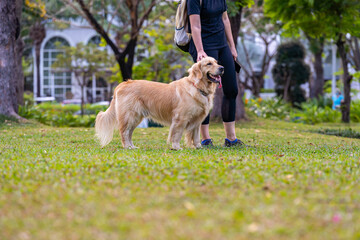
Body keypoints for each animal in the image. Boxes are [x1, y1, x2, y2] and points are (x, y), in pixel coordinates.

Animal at [95, 57, 225, 149]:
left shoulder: (197, 120)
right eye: (209, 64)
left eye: (216, 62)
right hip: (129, 116)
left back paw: (132, 146)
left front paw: (198, 147)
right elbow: (177, 134)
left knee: (129, 133)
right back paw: (127, 146)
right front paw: (176, 147)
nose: (222, 68)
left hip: (136, 117)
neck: (197, 86)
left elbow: (197, 136)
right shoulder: (180, 118)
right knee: (124, 132)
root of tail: (123, 83)